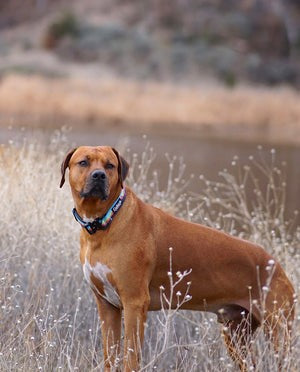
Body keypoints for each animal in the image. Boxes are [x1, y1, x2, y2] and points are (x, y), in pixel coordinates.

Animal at [59, 146, 294, 372]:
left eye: (110, 165)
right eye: (84, 162)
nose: (99, 175)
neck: (104, 222)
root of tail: (277, 266)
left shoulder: (134, 303)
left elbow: (131, 359)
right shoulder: (108, 307)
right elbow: (111, 357)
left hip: (280, 334)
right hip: (236, 336)